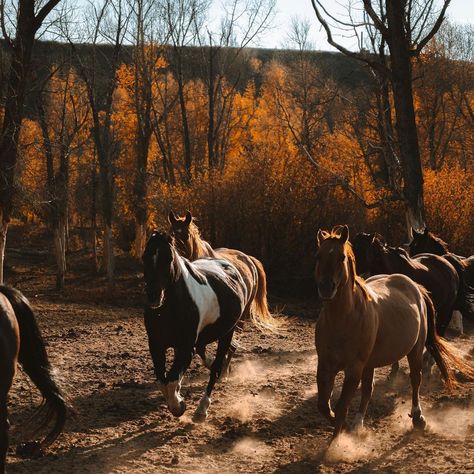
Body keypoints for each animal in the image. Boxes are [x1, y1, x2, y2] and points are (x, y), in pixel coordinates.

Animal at [142, 231, 270, 420]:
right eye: (144, 257)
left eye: (169, 258)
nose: (153, 296)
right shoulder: (156, 345)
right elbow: (163, 381)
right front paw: (178, 399)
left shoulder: (185, 346)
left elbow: (171, 381)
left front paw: (179, 406)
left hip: (227, 332)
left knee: (216, 367)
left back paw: (202, 409)